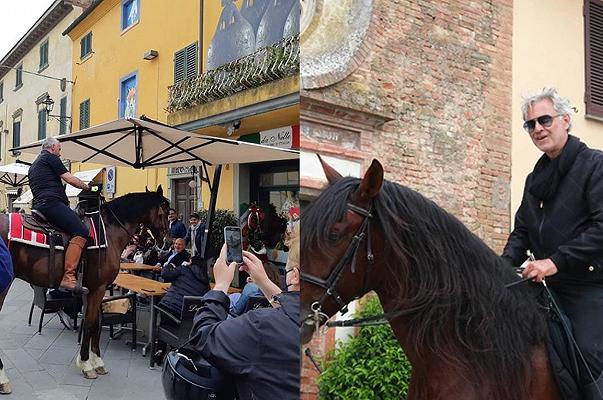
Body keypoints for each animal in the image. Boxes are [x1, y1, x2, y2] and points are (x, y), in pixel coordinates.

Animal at [0, 188, 170, 394]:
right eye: (164, 211)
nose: (167, 242)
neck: (110, 231)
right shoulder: (98, 287)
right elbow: (89, 324)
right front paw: (86, 364)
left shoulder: (93, 289)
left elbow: (96, 323)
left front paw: (97, 361)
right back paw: (3, 379)